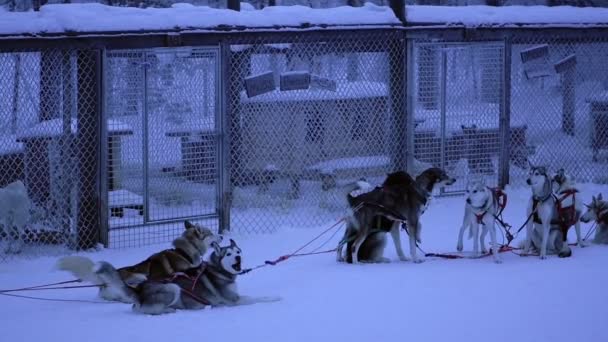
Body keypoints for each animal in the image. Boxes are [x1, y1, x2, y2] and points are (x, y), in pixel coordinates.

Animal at [57, 239, 280, 314]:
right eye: (228, 254)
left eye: (238, 251)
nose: (239, 257)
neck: (219, 270)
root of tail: (139, 289)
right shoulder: (233, 300)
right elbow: (257, 298)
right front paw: (274, 297)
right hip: (173, 288)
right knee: (147, 311)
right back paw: (170, 311)